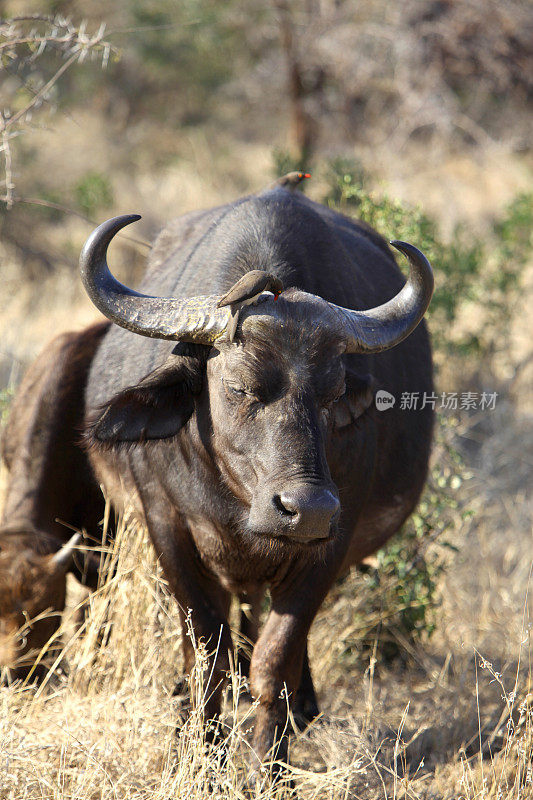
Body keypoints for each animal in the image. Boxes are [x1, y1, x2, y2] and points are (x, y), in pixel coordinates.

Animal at [79, 173, 434, 768]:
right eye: (239, 386)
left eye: (333, 392)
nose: (305, 509)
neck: (238, 503)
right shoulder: (167, 527)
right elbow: (208, 656)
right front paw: (203, 751)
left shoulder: (330, 546)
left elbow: (275, 661)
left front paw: (270, 767)